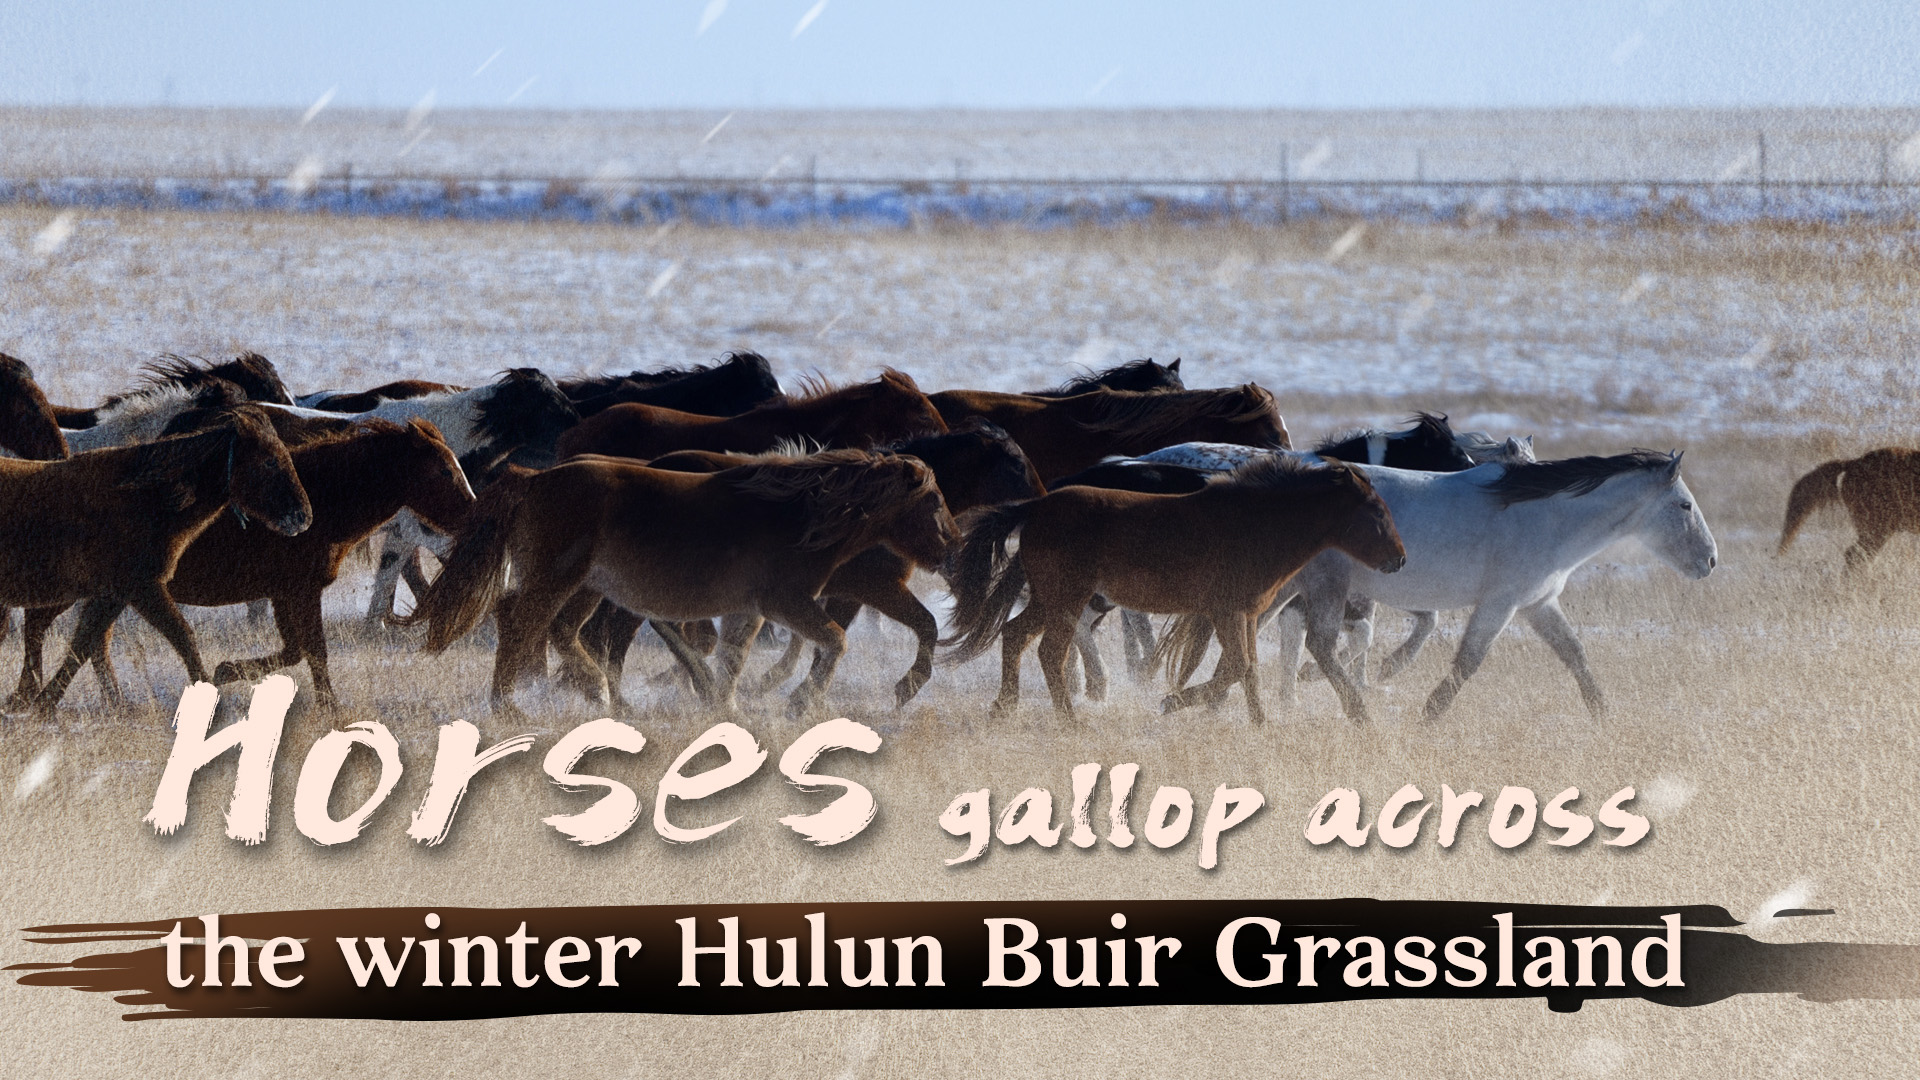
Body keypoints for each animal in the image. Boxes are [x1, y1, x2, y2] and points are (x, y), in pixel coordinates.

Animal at [0, 406, 313, 713]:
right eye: (270, 461)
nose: (303, 517)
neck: (146, 500)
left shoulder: (113, 594)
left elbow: (85, 643)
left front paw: (48, 702)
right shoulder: (142, 588)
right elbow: (181, 636)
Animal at [409, 450, 956, 720]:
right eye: (932, 500)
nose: (950, 547)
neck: (801, 515)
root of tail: (532, 480)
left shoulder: (749, 609)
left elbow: (733, 657)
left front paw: (727, 707)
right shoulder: (787, 602)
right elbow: (835, 642)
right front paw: (801, 701)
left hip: (587, 586)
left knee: (558, 632)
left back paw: (596, 694)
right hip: (558, 580)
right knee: (523, 626)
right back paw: (512, 708)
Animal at [943, 456, 1405, 722]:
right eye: (1375, 512)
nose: (1400, 560)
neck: (1256, 525)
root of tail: (1036, 507)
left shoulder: (1247, 615)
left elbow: (1249, 670)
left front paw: (1260, 725)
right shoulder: (1226, 613)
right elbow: (1236, 667)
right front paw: (1174, 701)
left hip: (1050, 599)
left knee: (1015, 633)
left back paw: (1004, 707)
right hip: (1067, 600)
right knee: (1049, 653)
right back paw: (1069, 720)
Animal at [1161, 451, 1717, 723]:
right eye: (1685, 505)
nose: (1711, 561)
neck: (1546, 515)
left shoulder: (1538, 603)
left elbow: (1576, 655)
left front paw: (1604, 715)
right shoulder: (1501, 603)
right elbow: (1469, 660)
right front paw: (1429, 713)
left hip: (1286, 588)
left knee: (1248, 645)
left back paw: (1196, 702)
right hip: (1323, 586)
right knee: (1315, 645)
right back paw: (1355, 712)